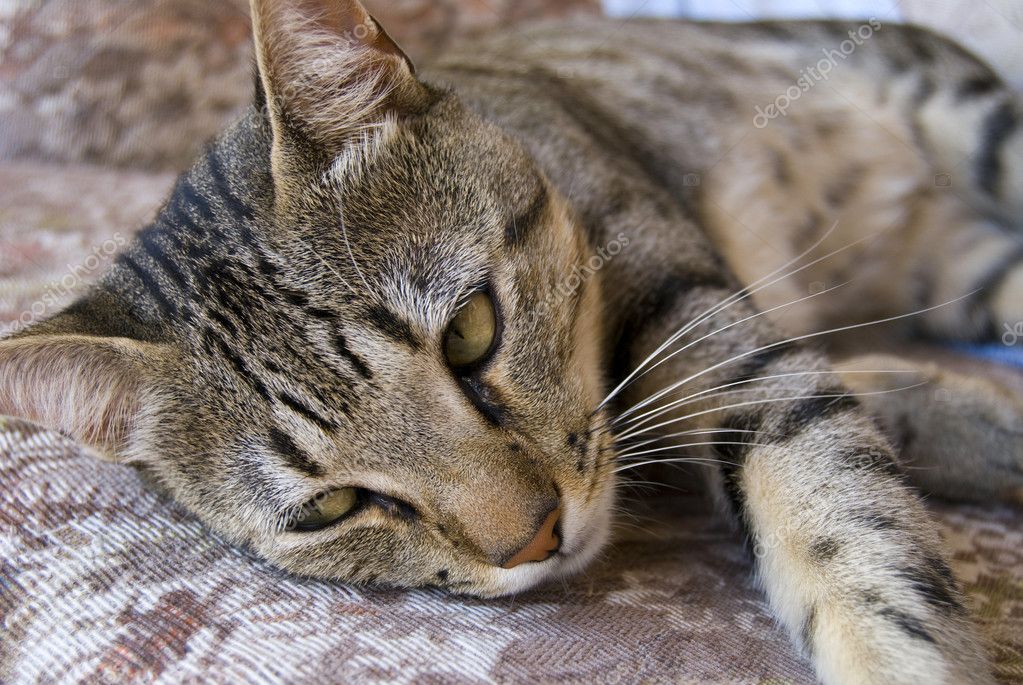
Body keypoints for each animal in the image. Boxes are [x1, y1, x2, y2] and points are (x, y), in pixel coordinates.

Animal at [1, 0, 1023, 682]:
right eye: (331, 507)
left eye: (469, 330)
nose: (536, 536)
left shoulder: (715, 324)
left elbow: (844, 519)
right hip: (964, 269)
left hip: (972, 123)